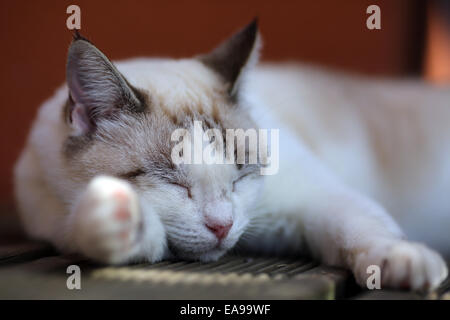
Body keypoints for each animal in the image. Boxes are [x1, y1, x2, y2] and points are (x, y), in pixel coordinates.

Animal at [13, 19, 446, 290]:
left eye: (241, 176)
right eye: (172, 183)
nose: (222, 227)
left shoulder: (314, 199)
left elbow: (361, 227)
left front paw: (405, 261)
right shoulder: (53, 217)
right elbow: (124, 233)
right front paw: (113, 218)